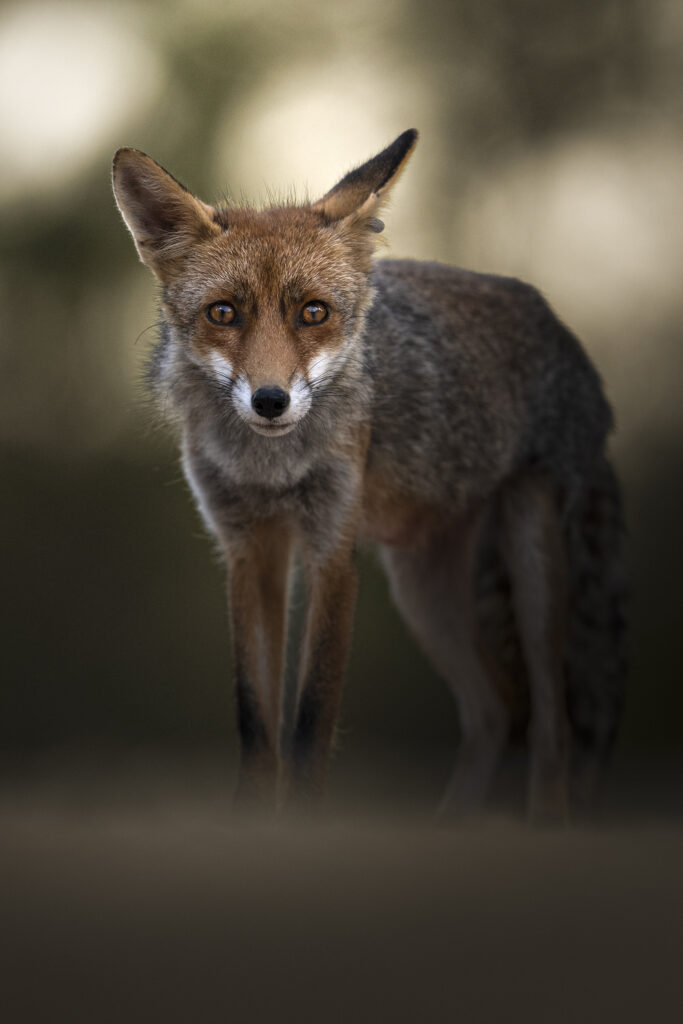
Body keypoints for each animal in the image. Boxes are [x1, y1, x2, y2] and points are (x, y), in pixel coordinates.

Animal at [112, 129, 626, 821]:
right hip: (423, 590)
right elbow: (256, 725)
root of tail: (561, 328)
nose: (270, 401)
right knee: (497, 707)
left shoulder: (331, 551)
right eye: (223, 313)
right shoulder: (249, 551)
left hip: (534, 564)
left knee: (551, 724)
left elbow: (309, 727)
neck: (271, 469)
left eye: (313, 313)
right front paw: (251, 825)